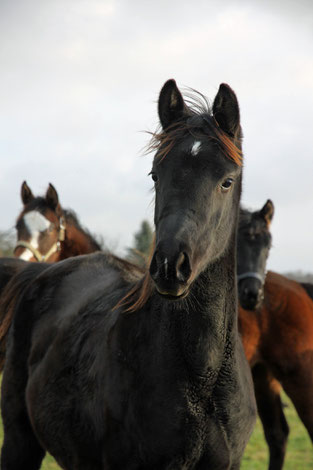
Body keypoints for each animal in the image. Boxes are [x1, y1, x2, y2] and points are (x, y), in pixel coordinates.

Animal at [0, 79, 256, 468]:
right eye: (155, 174)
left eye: (227, 181)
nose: (169, 266)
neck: (202, 378)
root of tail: (39, 274)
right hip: (19, 441)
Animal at [236, 202, 312, 470]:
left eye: (267, 246)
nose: (251, 295)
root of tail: (301, 288)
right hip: (263, 377)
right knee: (277, 434)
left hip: (300, 375)